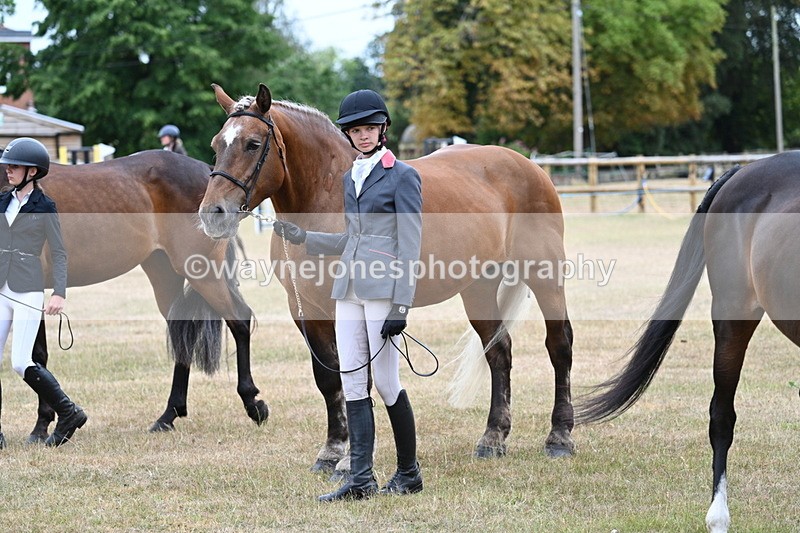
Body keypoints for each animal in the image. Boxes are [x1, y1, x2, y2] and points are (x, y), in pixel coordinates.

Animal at [0, 150, 267, 443]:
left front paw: (41, 427)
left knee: (239, 320)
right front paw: (43, 426)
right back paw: (168, 416)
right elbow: (36, 355)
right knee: (182, 333)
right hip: (164, 272)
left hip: (203, 272)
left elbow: (35, 355)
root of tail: (207, 174)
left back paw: (253, 404)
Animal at [197, 83, 576, 472]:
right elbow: (329, 379)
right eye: (216, 144)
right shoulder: (306, 310)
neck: (329, 198)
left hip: (544, 275)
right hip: (478, 288)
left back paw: (559, 437)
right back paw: (493, 437)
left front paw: (350, 460)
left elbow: (358, 378)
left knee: (559, 346)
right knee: (499, 351)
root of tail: (528, 165)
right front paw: (332, 450)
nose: (213, 214)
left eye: (253, 144)